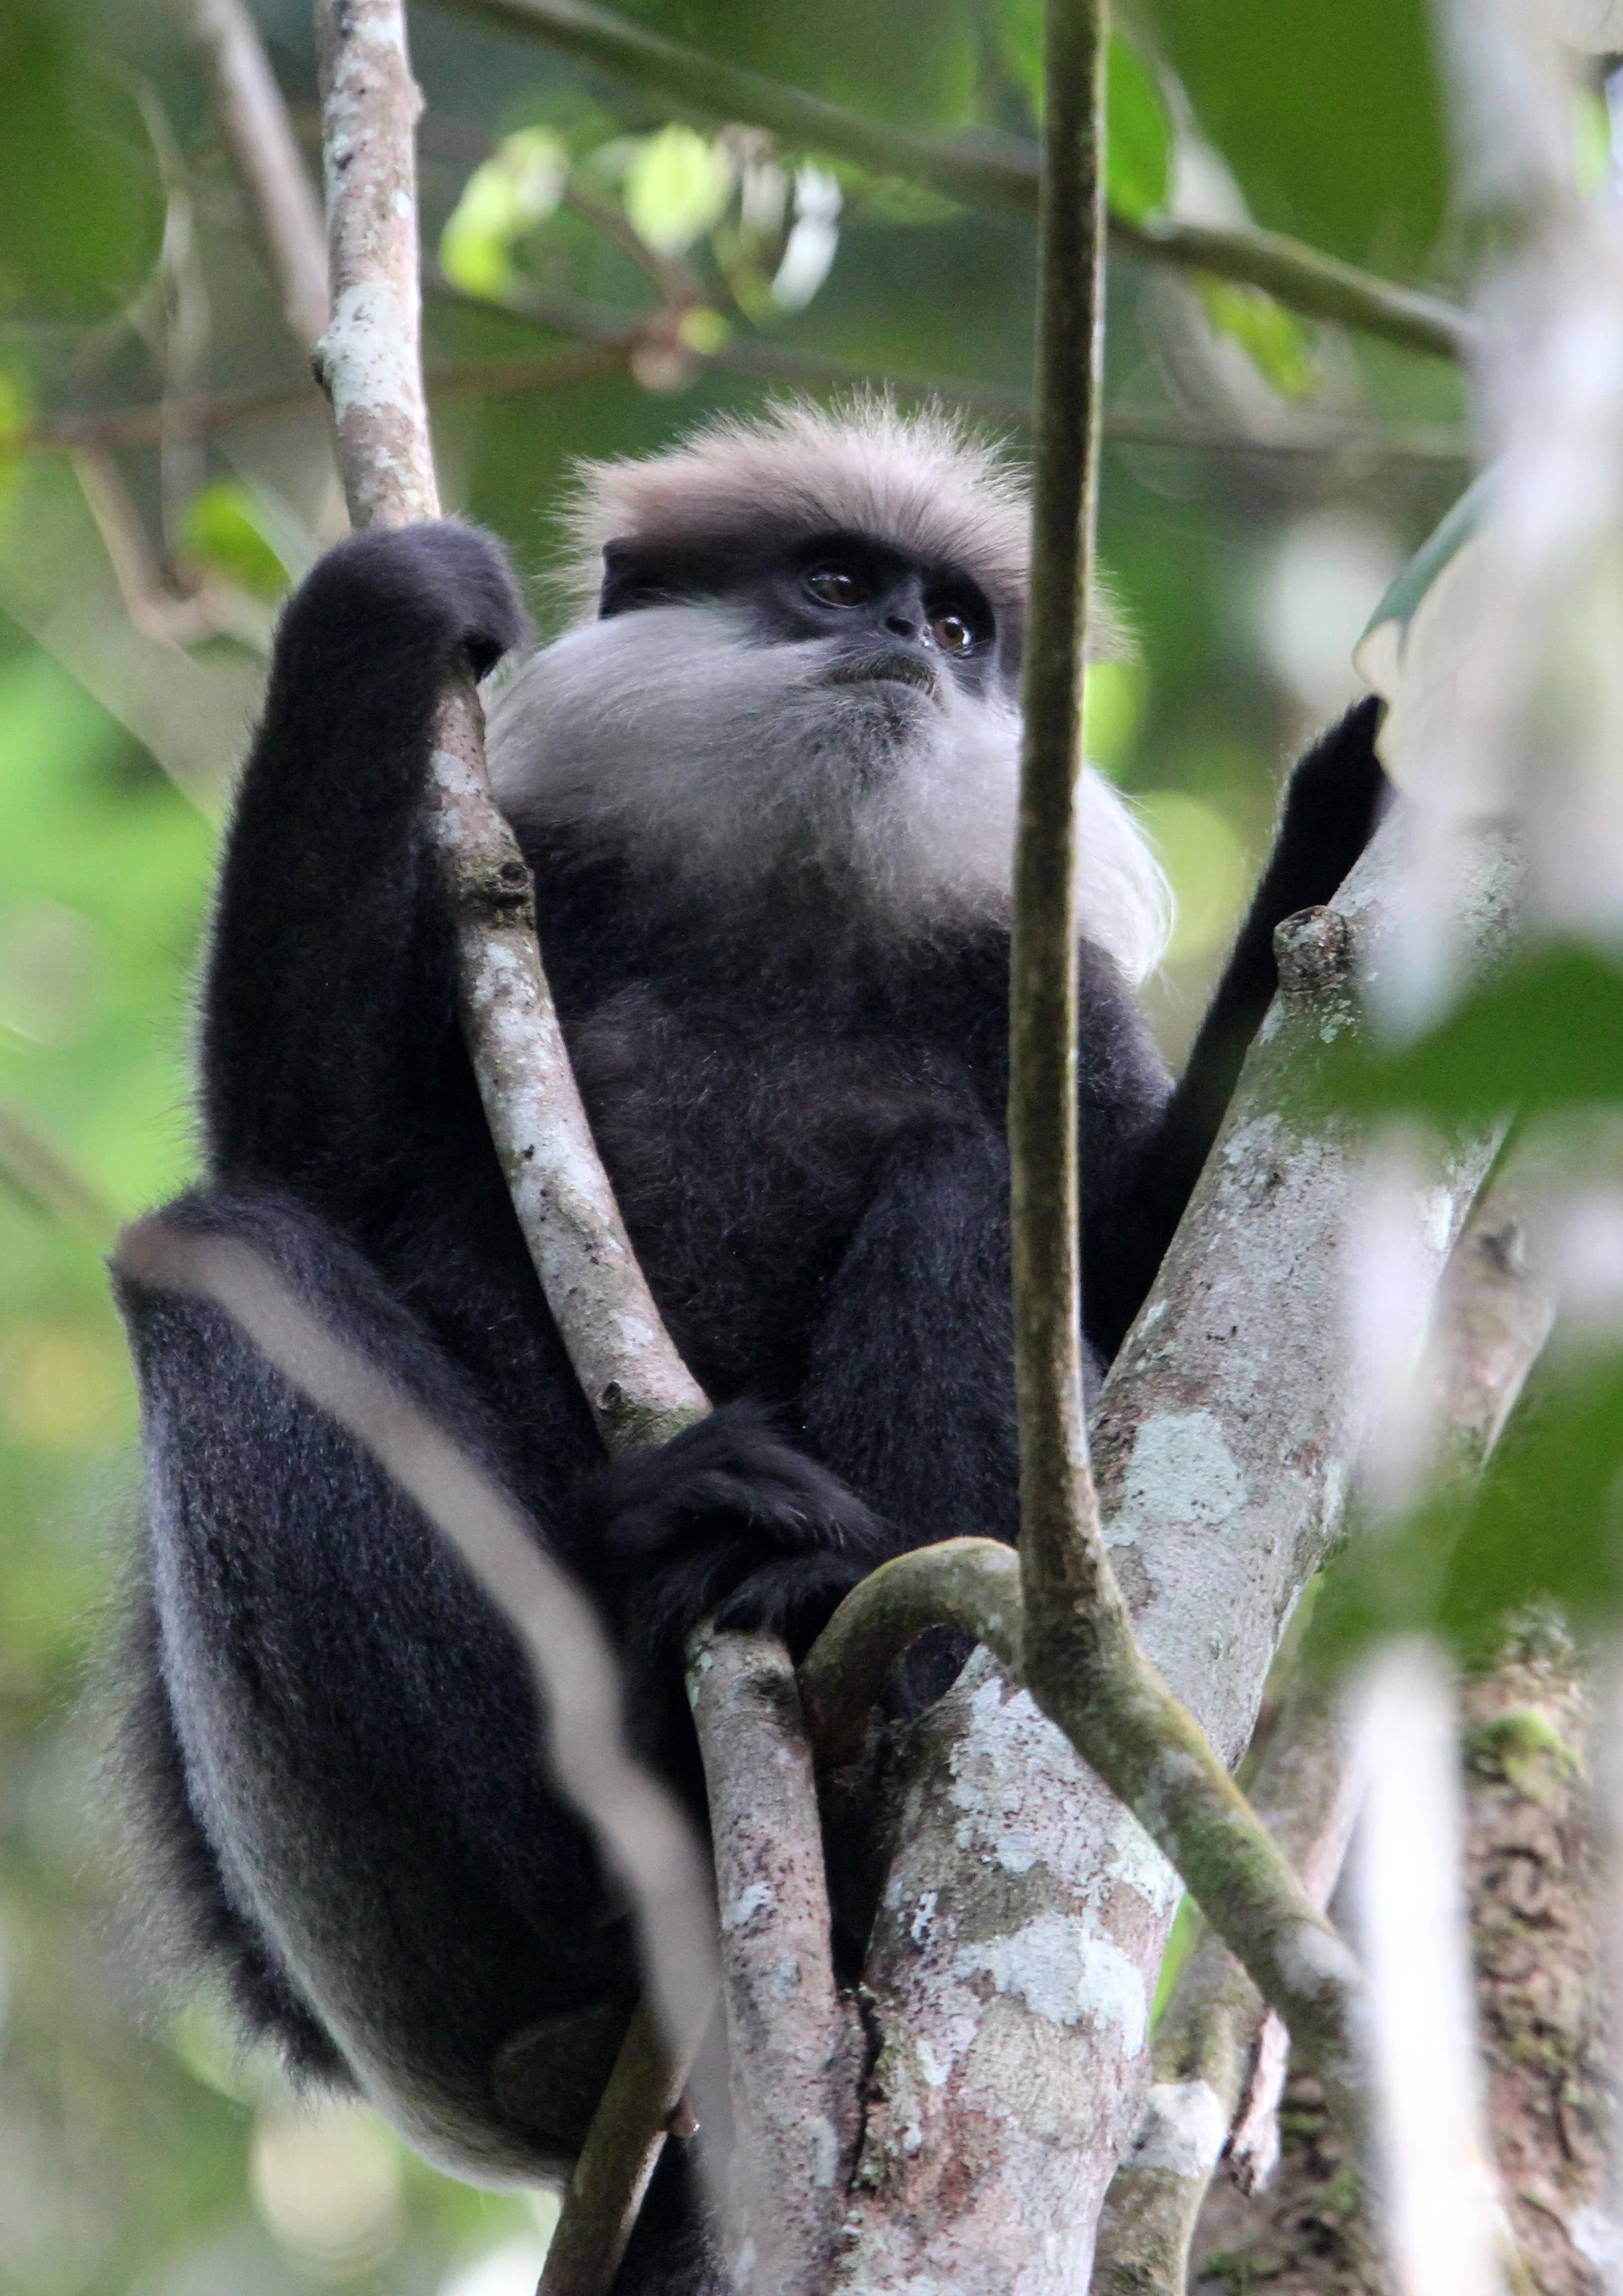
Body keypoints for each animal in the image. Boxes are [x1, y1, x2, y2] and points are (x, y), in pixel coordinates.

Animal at [111, 398, 1386, 2290]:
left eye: (960, 625)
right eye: (837, 582)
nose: (903, 639)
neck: (789, 917)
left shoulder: (1035, 986)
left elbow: (1147, 1259)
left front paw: (1334, 843)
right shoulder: (542, 887)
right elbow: (308, 1155)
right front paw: (381, 616)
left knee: (959, 1182)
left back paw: (825, 1685)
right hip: (408, 1980)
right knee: (217, 1262)